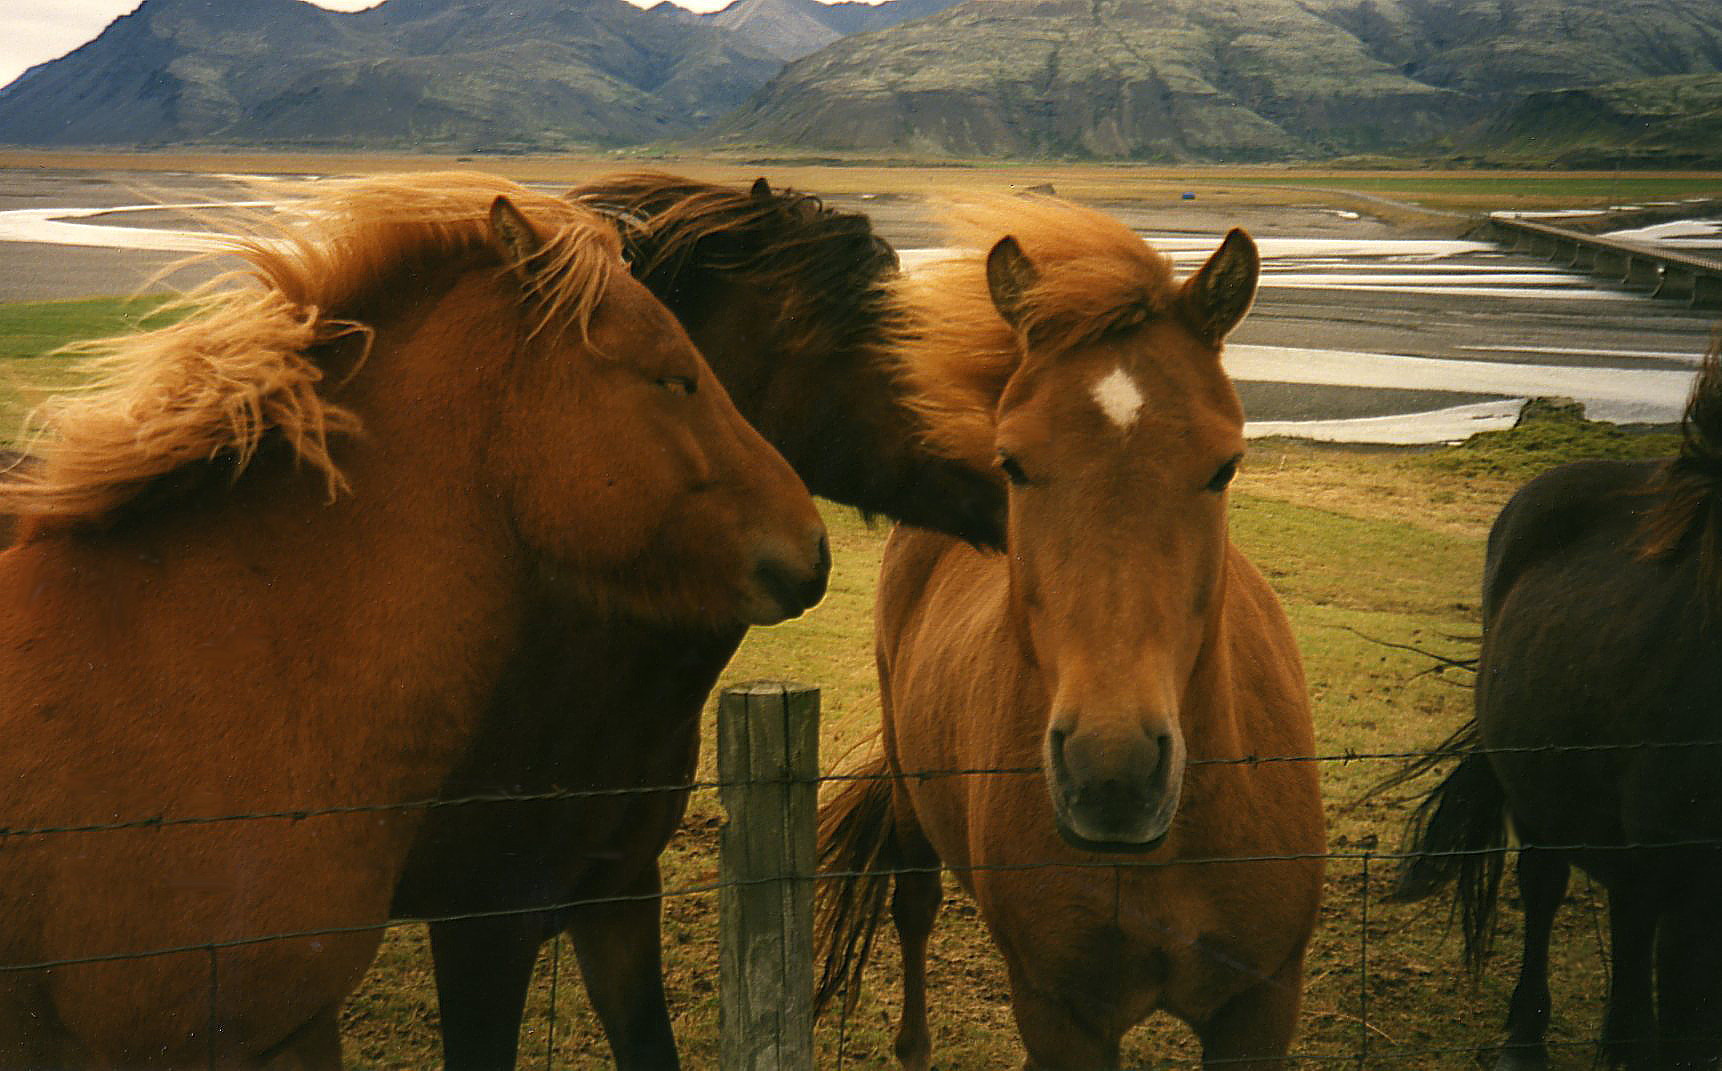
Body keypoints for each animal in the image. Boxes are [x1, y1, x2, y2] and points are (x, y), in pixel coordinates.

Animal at [812, 197, 1322, 1067]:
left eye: (1225, 465)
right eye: (1013, 463)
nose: (1111, 772)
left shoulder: (1261, 1005)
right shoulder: (1062, 1011)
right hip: (912, 798)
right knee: (913, 903)